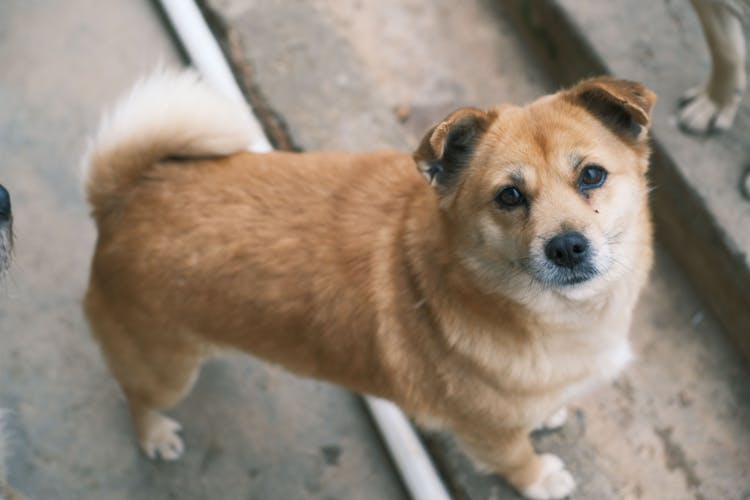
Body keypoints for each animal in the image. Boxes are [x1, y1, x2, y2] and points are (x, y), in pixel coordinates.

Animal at [82, 71, 656, 500]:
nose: (567, 247)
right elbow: (516, 458)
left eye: (592, 175)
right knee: (135, 396)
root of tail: (124, 197)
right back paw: (153, 434)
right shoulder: (487, 435)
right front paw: (539, 479)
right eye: (509, 196)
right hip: (166, 373)